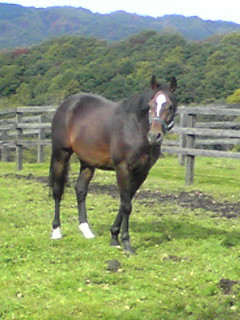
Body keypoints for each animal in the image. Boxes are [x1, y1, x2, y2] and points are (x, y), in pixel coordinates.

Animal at [49, 76, 177, 254]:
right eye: (150, 105)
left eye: (170, 106)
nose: (154, 135)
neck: (135, 128)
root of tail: (66, 105)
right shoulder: (122, 169)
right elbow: (126, 205)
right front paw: (126, 243)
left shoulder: (142, 172)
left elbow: (125, 202)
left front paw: (114, 237)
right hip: (61, 155)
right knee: (57, 190)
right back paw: (56, 231)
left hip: (87, 162)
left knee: (80, 189)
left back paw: (86, 230)